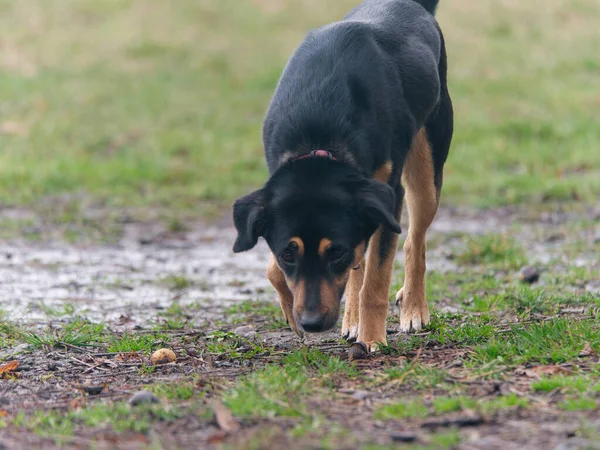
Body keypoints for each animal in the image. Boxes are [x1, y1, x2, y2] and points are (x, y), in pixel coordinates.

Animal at [232, 0, 452, 352]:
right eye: (288, 254)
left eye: (336, 251)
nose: (312, 322)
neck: (320, 136)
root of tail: (414, 5)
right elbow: (275, 271)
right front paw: (293, 317)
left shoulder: (387, 198)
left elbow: (375, 280)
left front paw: (372, 339)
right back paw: (351, 321)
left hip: (426, 174)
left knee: (414, 242)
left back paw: (413, 308)